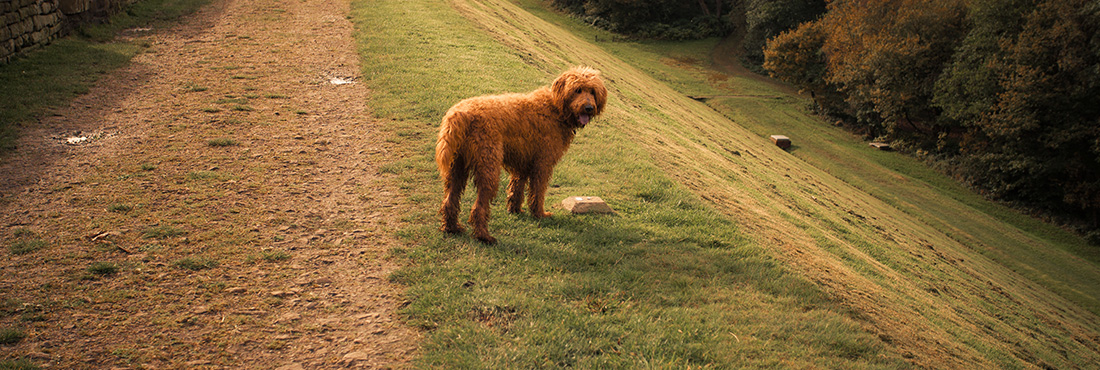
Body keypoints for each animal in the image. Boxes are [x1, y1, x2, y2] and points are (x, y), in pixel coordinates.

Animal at [435, 66, 611, 244]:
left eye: (593, 91)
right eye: (577, 90)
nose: (589, 108)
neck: (555, 108)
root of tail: (459, 114)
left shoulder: (523, 164)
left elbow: (517, 189)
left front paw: (515, 210)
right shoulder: (543, 164)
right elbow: (538, 191)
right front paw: (539, 214)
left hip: (456, 167)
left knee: (450, 200)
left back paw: (451, 228)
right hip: (488, 168)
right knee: (479, 207)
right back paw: (484, 236)